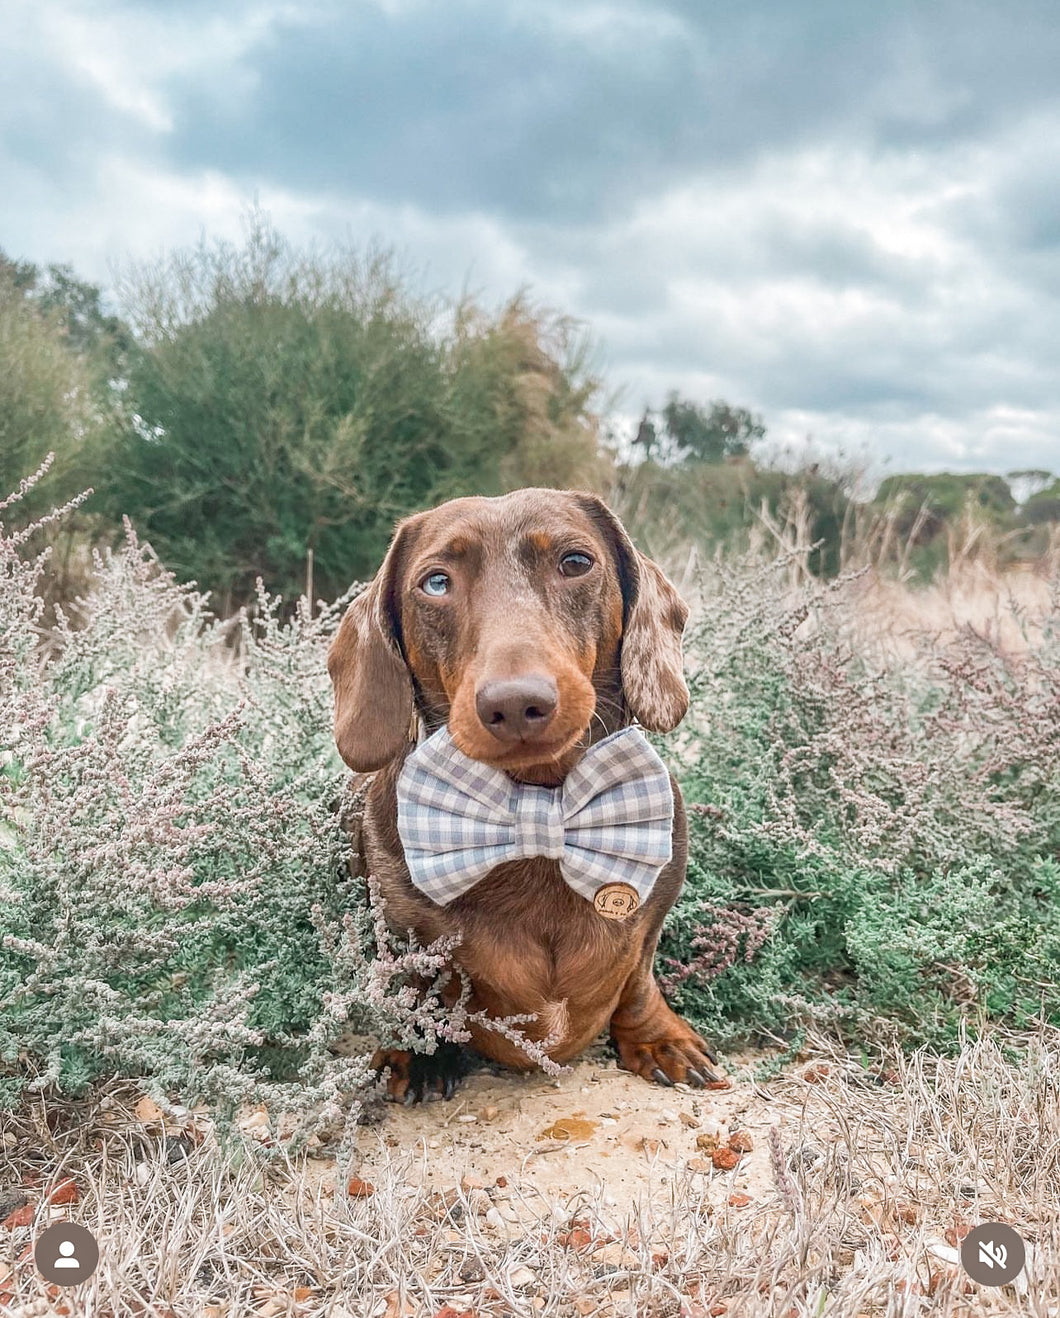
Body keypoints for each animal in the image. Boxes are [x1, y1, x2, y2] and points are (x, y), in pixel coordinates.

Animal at [325, 490, 722, 1096]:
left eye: (576, 562)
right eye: (435, 582)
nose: (515, 703)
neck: (537, 798)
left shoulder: (655, 906)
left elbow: (637, 977)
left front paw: (657, 1036)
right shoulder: (400, 927)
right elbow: (415, 987)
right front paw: (417, 1052)